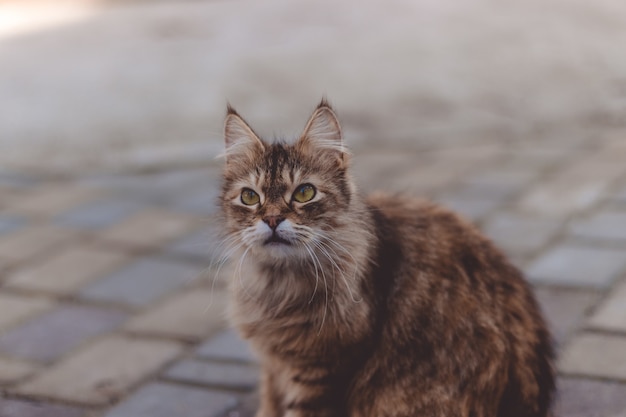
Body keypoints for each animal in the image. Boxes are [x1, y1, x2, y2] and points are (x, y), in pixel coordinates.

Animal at [217, 99, 552, 414]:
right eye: (250, 197)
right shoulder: (273, 366)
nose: (272, 219)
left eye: (304, 193)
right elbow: (268, 404)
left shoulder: (322, 368)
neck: (278, 284)